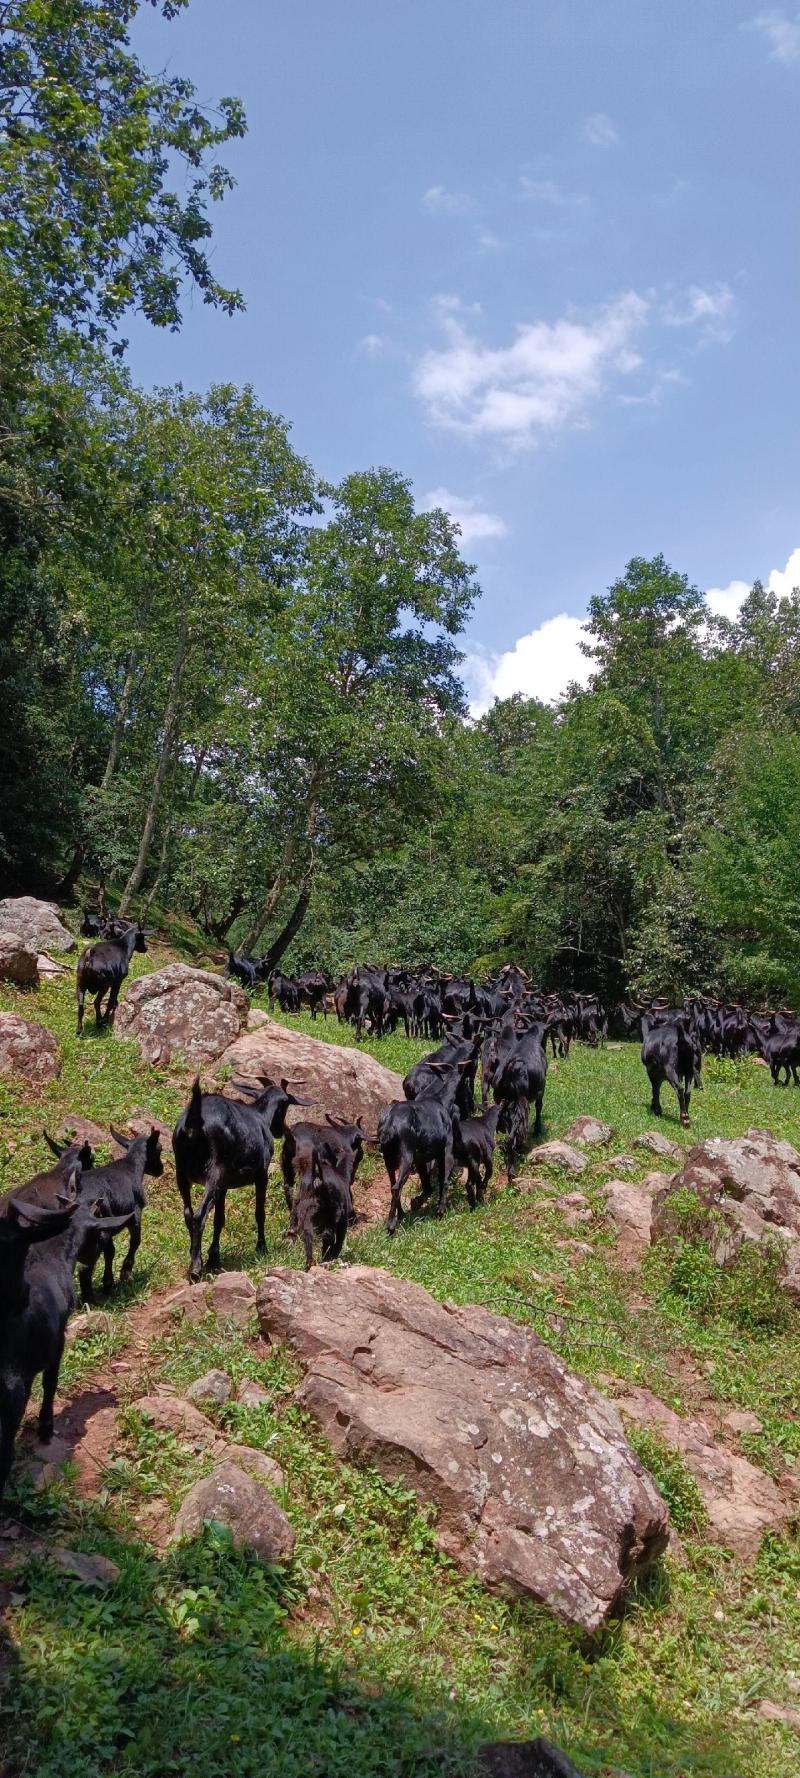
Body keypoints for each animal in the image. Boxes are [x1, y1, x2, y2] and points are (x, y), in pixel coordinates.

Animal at [173, 1066, 307, 1280]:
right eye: (286, 1104)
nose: (280, 1130)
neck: (260, 1116)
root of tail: (195, 1120)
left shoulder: (223, 1186)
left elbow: (219, 1219)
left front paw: (214, 1257)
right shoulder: (261, 1174)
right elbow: (259, 1212)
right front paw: (262, 1247)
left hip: (183, 1174)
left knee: (188, 1213)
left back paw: (195, 1257)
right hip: (213, 1172)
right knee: (199, 1215)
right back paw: (195, 1268)